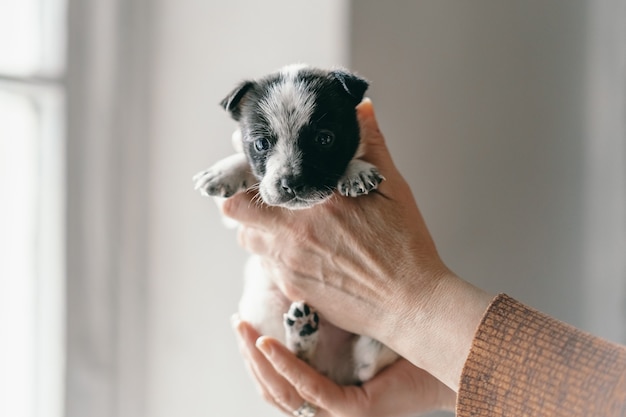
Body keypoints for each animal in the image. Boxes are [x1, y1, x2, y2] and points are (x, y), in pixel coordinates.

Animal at [195, 65, 398, 384]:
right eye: (261, 144)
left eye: (325, 139)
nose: (290, 184)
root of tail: (332, 370)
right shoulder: (233, 217)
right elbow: (246, 168)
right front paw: (226, 169)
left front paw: (356, 170)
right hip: (264, 306)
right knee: (298, 357)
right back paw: (302, 332)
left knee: (366, 367)